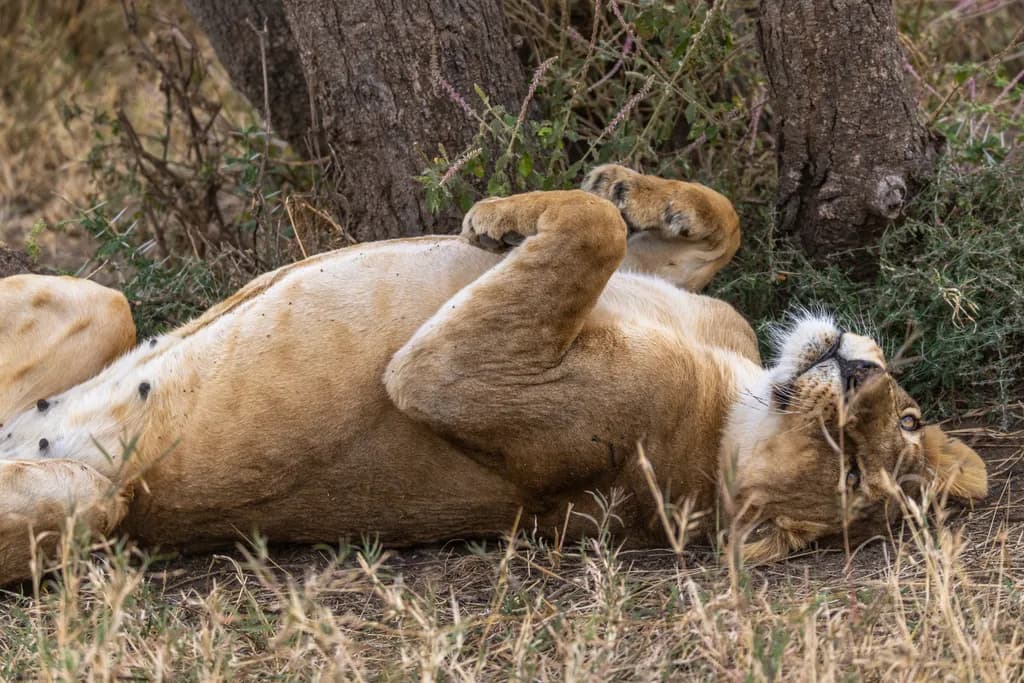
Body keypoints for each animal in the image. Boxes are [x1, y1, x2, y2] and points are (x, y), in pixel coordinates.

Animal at [0, 165, 986, 585]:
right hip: (103, 303)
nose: (860, 378)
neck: (732, 392)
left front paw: (499, 214)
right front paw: (630, 187)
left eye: (852, 471)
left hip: (89, 507)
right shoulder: (694, 301)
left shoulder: (446, 375)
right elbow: (706, 223)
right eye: (901, 425)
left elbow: (590, 228)